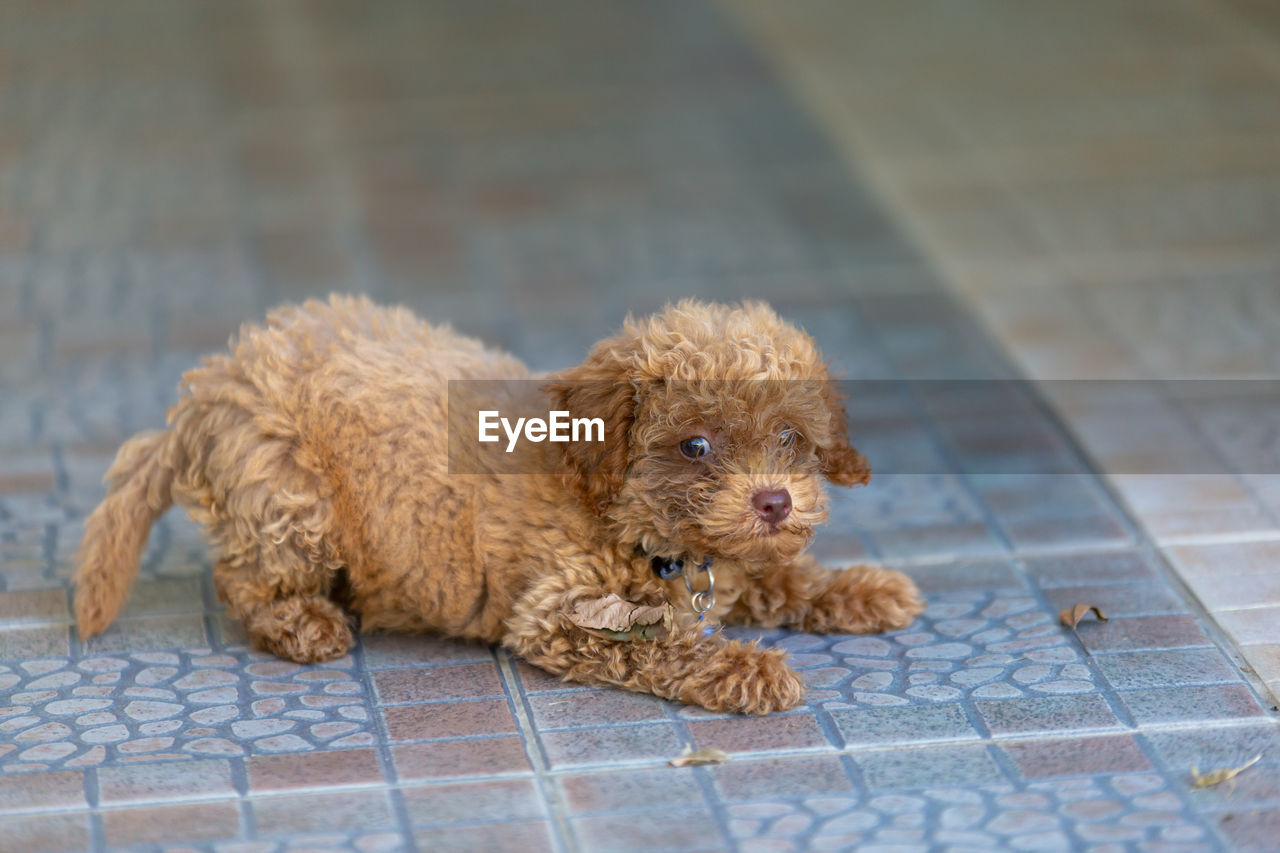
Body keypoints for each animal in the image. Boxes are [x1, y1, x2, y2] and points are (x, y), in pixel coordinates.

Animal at [74, 292, 921, 712]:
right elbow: (663, 644)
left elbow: (779, 579)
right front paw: (746, 667)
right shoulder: (558, 613)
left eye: (789, 435)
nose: (774, 501)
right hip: (288, 494)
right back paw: (304, 622)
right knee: (245, 579)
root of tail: (208, 387)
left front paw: (859, 588)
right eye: (695, 446)